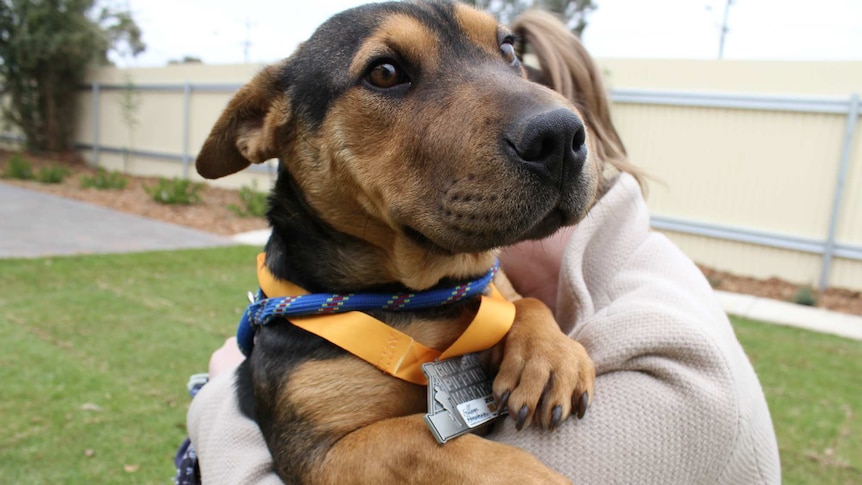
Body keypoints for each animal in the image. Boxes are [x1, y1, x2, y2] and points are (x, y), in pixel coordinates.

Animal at [196, 1, 616, 482]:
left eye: (508, 48)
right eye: (384, 73)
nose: (563, 136)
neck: (427, 297)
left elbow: (520, 299)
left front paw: (549, 355)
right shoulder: (321, 453)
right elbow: (421, 441)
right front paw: (534, 474)